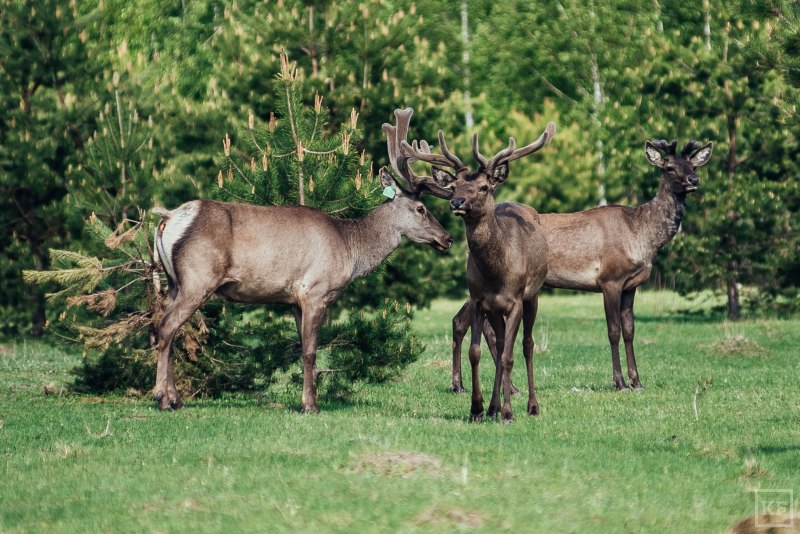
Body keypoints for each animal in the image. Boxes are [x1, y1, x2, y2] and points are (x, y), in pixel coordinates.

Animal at [151, 109, 453, 413]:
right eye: (421, 209)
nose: (447, 238)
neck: (349, 245)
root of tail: (168, 218)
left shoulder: (295, 299)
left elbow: (302, 347)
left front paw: (307, 399)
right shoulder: (315, 290)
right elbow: (310, 351)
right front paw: (310, 405)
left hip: (174, 281)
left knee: (165, 328)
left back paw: (174, 397)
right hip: (198, 277)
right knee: (166, 327)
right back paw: (163, 398)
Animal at [403, 121, 556, 422]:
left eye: (484, 186)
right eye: (454, 186)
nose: (457, 202)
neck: (496, 274)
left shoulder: (515, 300)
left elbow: (509, 355)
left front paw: (508, 412)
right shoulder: (478, 299)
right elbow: (476, 351)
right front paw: (477, 408)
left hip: (533, 295)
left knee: (527, 345)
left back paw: (531, 405)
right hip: (495, 310)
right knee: (499, 342)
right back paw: (494, 406)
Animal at [449, 139, 713, 393]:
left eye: (694, 166)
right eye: (670, 168)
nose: (694, 180)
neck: (642, 236)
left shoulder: (631, 285)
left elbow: (630, 331)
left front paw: (637, 382)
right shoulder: (610, 279)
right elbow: (613, 331)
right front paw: (619, 383)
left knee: (470, 323)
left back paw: (484, 385)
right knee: (465, 322)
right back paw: (468, 385)